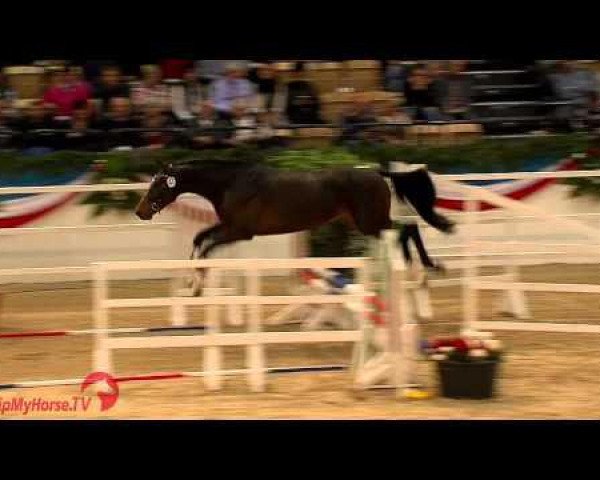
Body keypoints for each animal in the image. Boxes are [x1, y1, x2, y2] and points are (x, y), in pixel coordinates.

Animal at [136, 159, 452, 292]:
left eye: (158, 186)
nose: (140, 212)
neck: (230, 184)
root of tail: (376, 172)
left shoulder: (240, 232)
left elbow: (206, 246)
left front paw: (198, 283)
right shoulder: (228, 227)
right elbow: (199, 241)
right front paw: (194, 282)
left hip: (370, 222)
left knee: (407, 229)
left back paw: (425, 269)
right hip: (366, 222)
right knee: (406, 230)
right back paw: (420, 271)